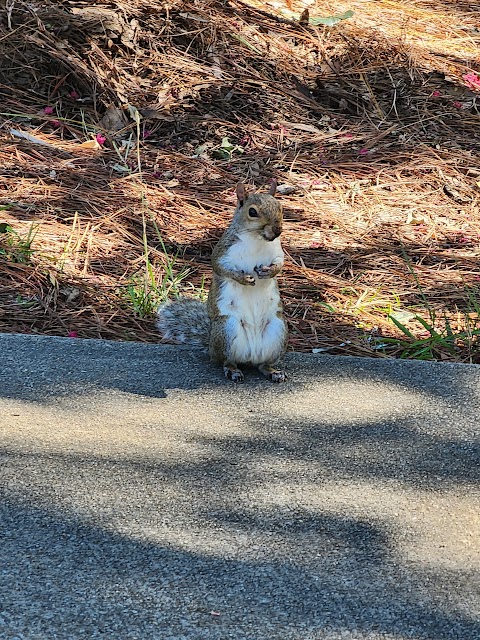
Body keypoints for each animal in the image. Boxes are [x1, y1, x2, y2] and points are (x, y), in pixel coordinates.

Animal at [156, 178, 286, 382]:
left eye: (280, 207)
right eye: (252, 212)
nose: (277, 230)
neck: (257, 239)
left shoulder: (277, 253)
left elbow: (280, 265)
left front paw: (269, 271)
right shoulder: (223, 251)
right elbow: (220, 268)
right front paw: (242, 278)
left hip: (277, 331)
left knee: (262, 364)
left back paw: (273, 371)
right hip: (226, 330)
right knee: (227, 360)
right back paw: (233, 370)